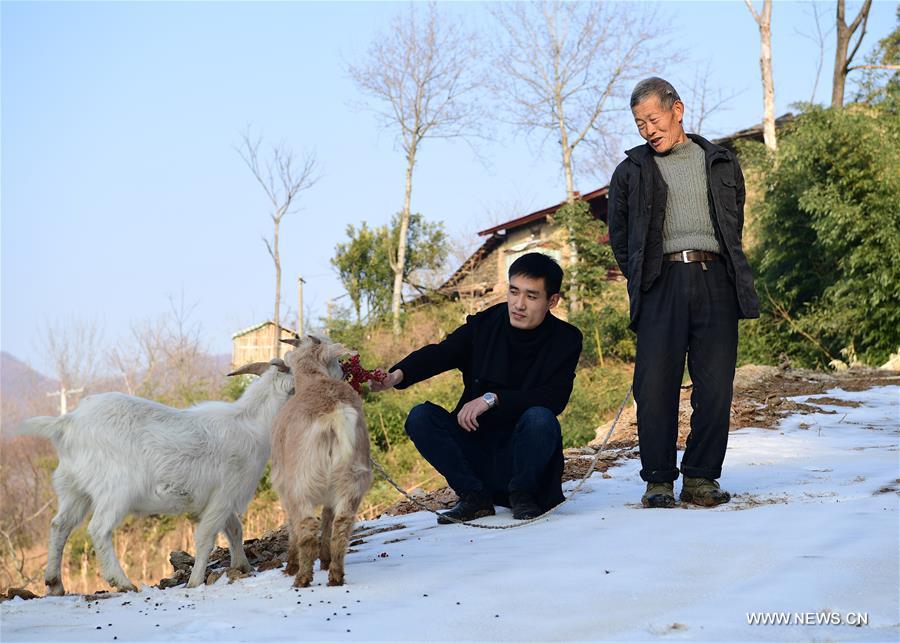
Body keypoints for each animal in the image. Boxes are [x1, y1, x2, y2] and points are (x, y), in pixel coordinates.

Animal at [19, 358, 294, 595]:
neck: (251, 421)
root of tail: (69, 422)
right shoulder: (224, 494)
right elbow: (206, 537)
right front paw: (195, 582)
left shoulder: (219, 500)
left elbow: (235, 530)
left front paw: (243, 566)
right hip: (115, 489)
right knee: (98, 529)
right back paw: (122, 582)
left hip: (73, 488)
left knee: (60, 525)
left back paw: (54, 583)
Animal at [272, 336, 373, 587]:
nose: (344, 371)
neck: (314, 379)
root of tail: (333, 413)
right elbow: (328, 516)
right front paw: (325, 560)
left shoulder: (284, 486)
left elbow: (292, 524)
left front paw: (291, 565)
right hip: (352, 477)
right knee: (342, 522)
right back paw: (335, 573)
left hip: (301, 481)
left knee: (306, 525)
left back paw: (301, 577)